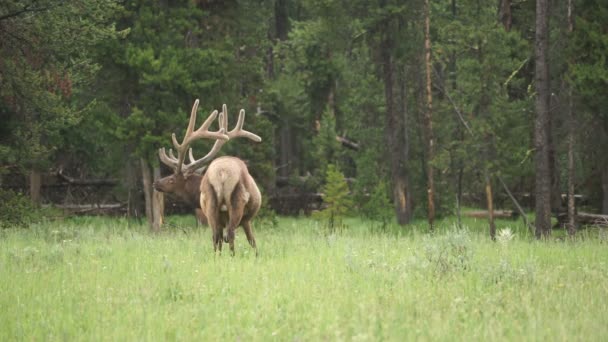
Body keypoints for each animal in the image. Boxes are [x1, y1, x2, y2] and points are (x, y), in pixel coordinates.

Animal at [154, 98, 262, 254]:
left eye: (171, 179)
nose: (155, 183)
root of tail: (222, 173)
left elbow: (250, 241)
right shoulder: (242, 219)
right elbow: (251, 242)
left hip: (218, 205)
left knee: (221, 236)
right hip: (228, 205)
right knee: (225, 235)